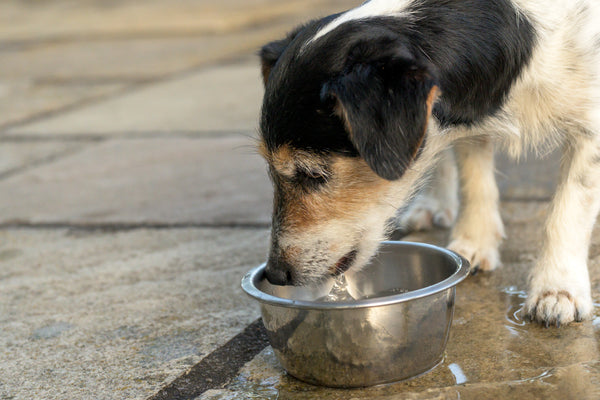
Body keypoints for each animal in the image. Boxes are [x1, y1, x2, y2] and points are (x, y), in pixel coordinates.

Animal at [254, 0, 600, 328]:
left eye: (313, 173)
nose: (275, 274)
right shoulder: (465, 120)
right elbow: (473, 178)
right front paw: (475, 242)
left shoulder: (591, 128)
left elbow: (570, 207)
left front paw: (558, 290)